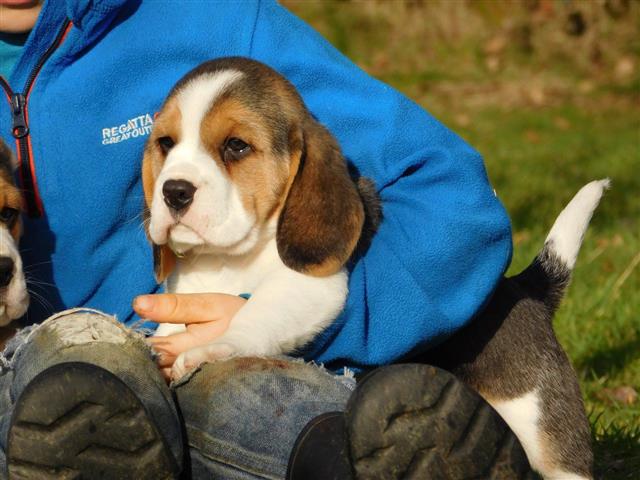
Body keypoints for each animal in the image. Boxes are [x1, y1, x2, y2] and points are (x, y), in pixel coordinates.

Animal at [142, 57, 378, 382]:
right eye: (166, 143)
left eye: (236, 145)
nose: (174, 191)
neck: (226, 260)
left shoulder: (311, 286)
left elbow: (254, 312)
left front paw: (214, 348)